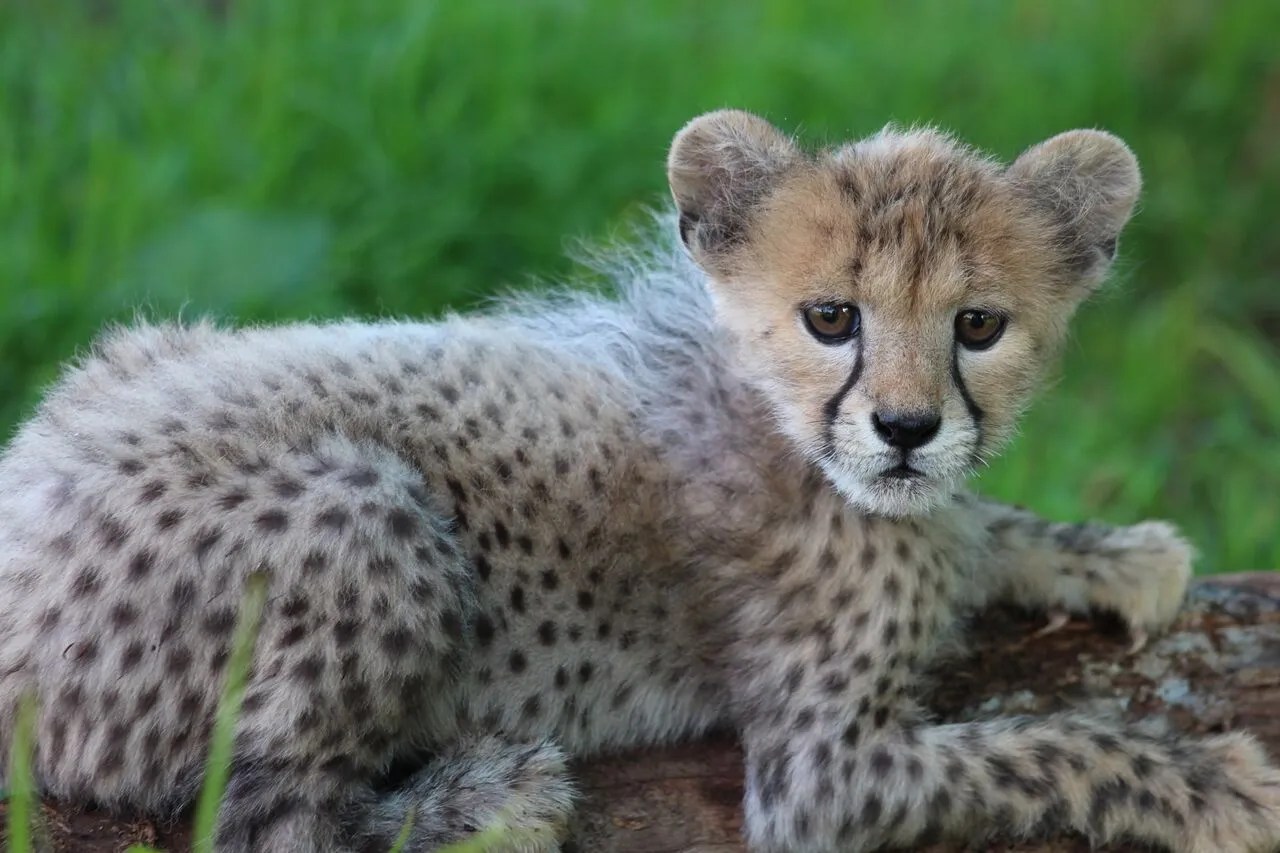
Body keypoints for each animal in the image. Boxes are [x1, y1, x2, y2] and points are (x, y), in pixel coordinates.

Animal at [0, 108, 1277, 852]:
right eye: (830, 317)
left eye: (976, 324)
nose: (905, 427)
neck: (777, 417)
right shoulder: (824, 772)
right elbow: (1045, 745)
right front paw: (1212, 784)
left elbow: (981, 520)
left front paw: (1114, 554)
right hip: (363, 511)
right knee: (272, 822)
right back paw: (489, 800)